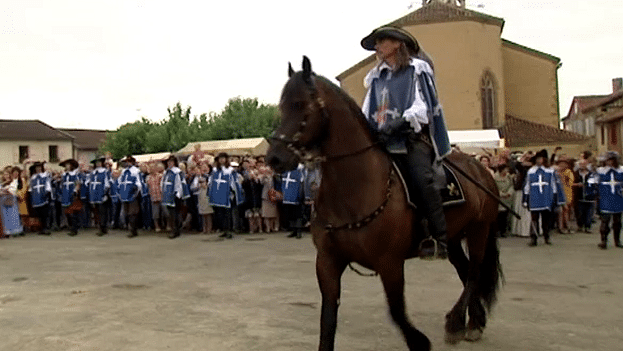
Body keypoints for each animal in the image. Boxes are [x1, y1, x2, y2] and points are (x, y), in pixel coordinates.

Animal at [266, 57, 502, 351]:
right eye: (282, 107)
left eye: (300, 105)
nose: (274, 158)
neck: (354, 190)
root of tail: (481, 169)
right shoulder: (328, 262)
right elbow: (328, 320)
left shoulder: (390, 263)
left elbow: (397, 312)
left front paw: (420, 341)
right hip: (455, 236)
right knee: (465, 270)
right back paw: (472, 322)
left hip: (479, 230)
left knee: (474, 272)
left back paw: (457, 321)